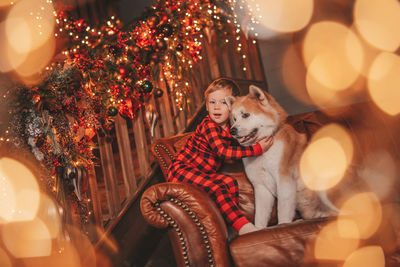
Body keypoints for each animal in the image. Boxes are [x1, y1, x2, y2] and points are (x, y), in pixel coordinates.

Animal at [225, 85, 338, 228]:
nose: (232, 131)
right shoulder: (261, 187)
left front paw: (283, 225)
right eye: (234, 119)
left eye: (245, 115)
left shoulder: (284, 180)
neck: (263, 151)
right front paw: (259, 229)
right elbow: (260, 217)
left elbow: (283, 210)